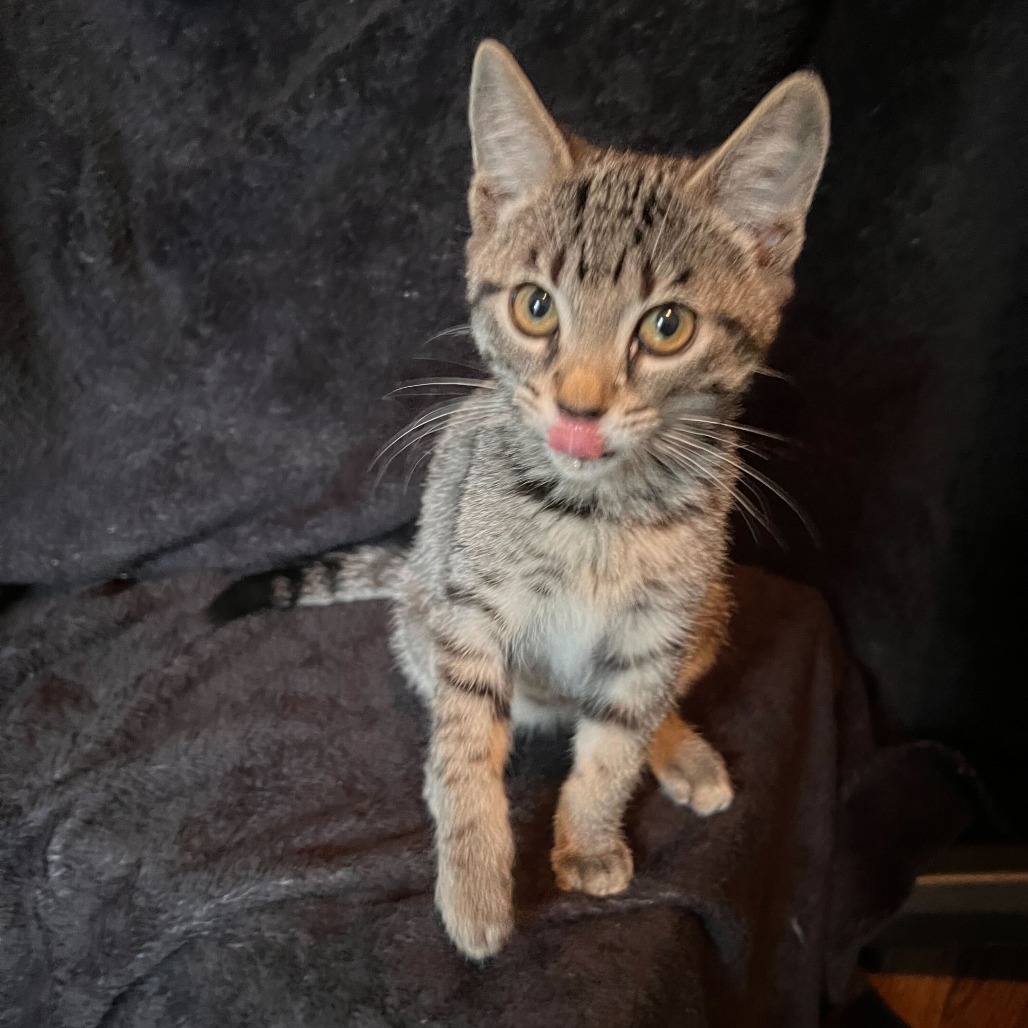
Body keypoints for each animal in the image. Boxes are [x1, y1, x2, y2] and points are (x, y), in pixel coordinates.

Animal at [212, 38, 830, 953]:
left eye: (668, 327)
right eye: (536, 307)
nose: (578, 405)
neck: (594, 515)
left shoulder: (656, 630)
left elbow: (616, 744)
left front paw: (587, 839)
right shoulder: (470, 611)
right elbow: (465, 750)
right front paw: (473, 883)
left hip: (710, 608)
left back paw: (680, 751)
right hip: (423, 611)